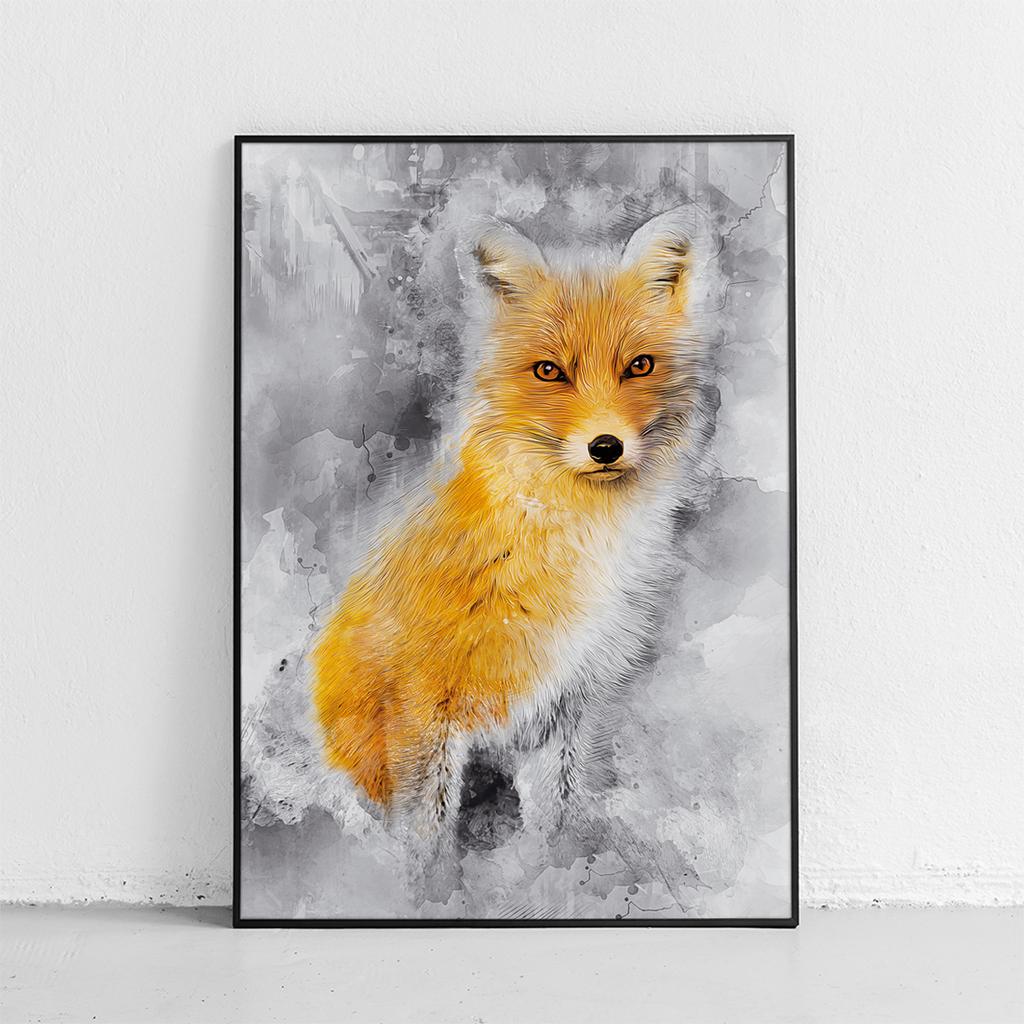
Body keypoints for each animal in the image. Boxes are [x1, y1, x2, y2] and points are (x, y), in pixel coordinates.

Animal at [312, 206, 715, 845]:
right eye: (549, 371)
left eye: (639, 366)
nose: (606, 447)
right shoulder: (421, 705)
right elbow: (425, 842)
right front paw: (423, 875)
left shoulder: (572, 701)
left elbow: (557, 824)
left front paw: (554, 868)